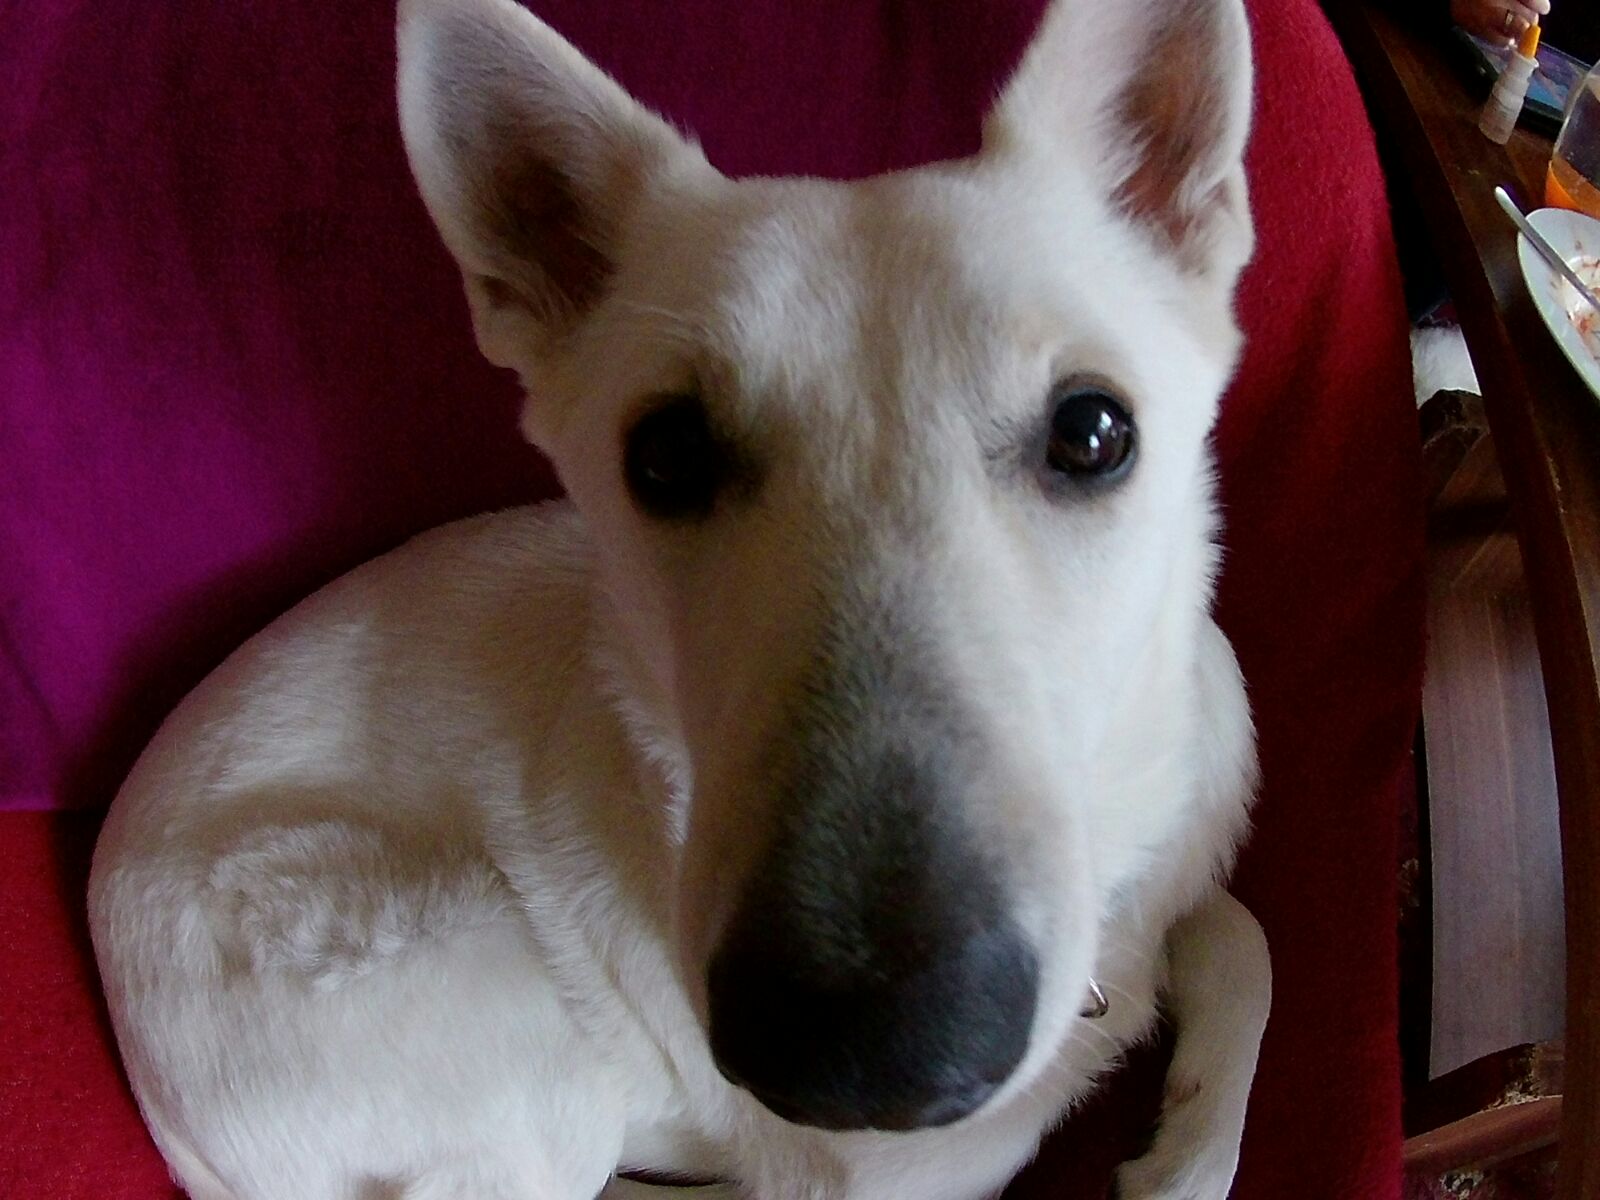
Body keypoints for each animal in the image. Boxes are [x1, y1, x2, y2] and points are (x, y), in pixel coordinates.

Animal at [89, 0, 1271, 1195]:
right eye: (665, 458)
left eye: (1092, 431)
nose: (864, 1051)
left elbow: (1241, 939)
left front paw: (1184, 1145)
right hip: (500, 1003)